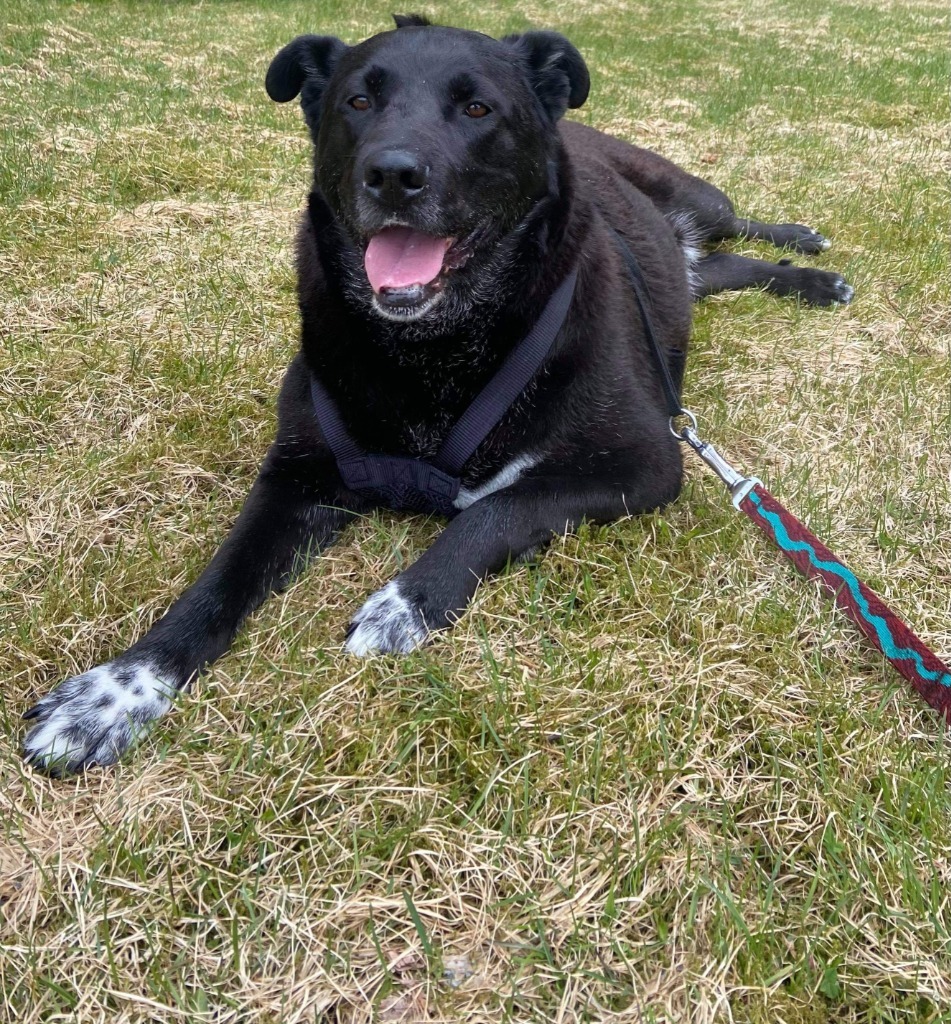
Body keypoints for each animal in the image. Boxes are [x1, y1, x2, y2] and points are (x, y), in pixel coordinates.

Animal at [22, 18, 851, 774]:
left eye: (477, 108)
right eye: (357, 101)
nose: (392, 174)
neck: (431, 347)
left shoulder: (643, 463)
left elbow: (494, 509)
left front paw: (406, 603)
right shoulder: (297, 476)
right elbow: (215, 583)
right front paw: (114, 693)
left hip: (696, 197)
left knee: (737, 226)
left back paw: (808, 255)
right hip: (683, 267)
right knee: (720, 268)